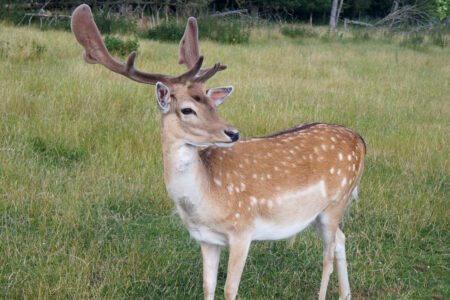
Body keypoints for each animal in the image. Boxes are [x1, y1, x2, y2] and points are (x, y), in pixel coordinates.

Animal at [71, 4, 366, 298]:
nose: (233, 133)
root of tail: (361, 141)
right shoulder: (206, 239)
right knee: (341, 239)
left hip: (336, 202)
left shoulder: (243, 230)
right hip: (318, 213)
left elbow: (229, 289)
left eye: (213, 106)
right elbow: (208, 284)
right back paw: (346, 294)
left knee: (328, 253)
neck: (206, 199)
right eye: (187, 109)